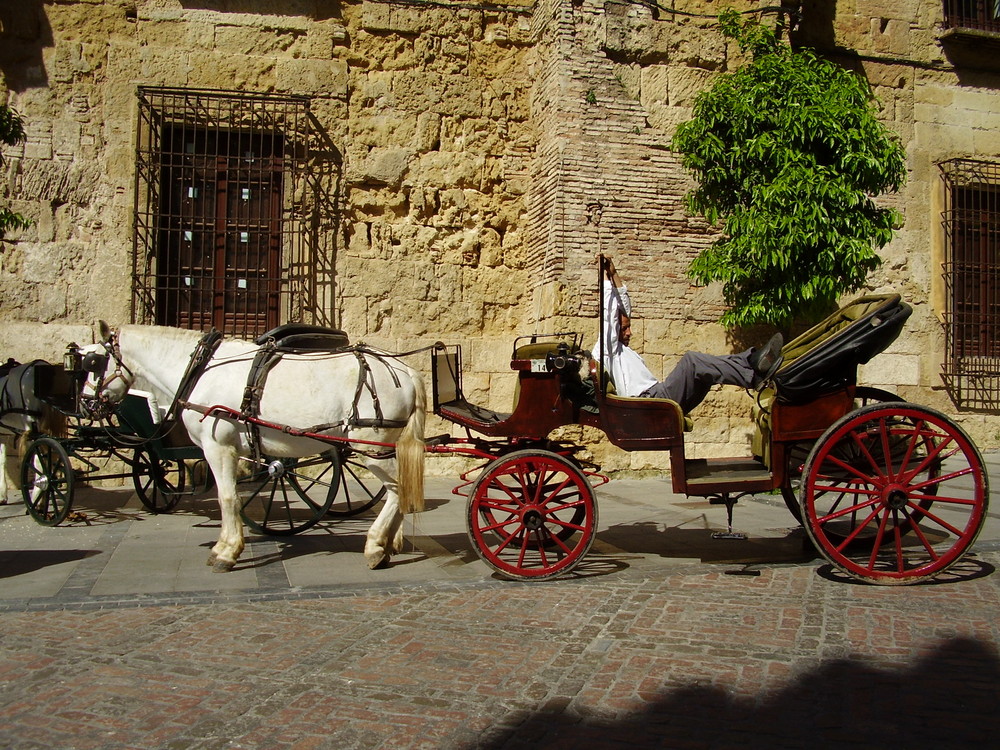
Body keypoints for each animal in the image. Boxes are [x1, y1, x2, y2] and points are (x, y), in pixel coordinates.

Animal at [79, 324, 422, 576]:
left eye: (93, 362)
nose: (85, 405)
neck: (202, 369)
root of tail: (403, 369)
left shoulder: (218, 447)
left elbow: (228, 497)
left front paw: (226, 551)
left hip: (369, 445)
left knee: (397, 489)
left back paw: (376, 545)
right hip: (382, 448)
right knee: (400, 490)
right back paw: (390, 543)